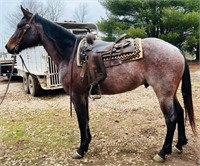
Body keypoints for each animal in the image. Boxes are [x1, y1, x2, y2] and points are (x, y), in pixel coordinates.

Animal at [5, 6, 196, 162]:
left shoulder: (76, 95)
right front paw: (87, 144)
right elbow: (86, 119)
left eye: (20, 26)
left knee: (171, 118)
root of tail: (176, 50)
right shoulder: (83, 94)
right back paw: (179, 144)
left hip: (163, 93)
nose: (8, 47)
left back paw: (163, 152)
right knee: (180, 112)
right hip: (170, 92)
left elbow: (81, 120)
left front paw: (81, 149)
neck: (69, 53)